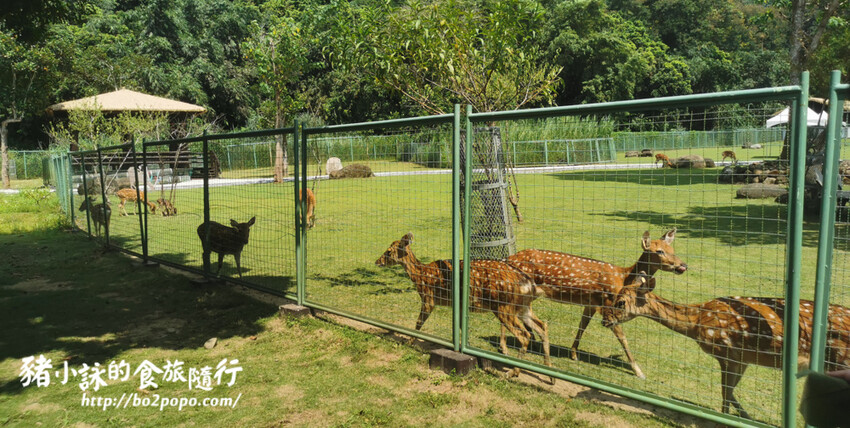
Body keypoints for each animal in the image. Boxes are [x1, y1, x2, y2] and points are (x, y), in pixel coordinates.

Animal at [376, 233, 552, 378]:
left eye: (389, 251)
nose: (377, 261)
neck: (421, 276)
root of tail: (528, 284)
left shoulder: (429, 299)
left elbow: (418, 323)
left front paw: (409, 342)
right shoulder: (459, 305)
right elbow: (459, 326)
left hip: (503, 307)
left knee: (525, 335)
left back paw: (513, 372)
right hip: (522, 307)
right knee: (541, 326)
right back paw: (548, 374)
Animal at [506, 229, 687, 379]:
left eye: (673, 250)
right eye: (659, 251)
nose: (683, 265)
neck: (623, 278)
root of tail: (508, 258)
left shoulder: (591, 304)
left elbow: (582, 325)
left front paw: (573, 354)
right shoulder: (608, 304)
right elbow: (623, 338)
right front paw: (639, 372)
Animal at [605, 275, 850, 419]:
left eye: (621, 302)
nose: (604, 319)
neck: (696, 322)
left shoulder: (726, 352)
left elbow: (725, 394)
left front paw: (729, 418)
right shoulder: (743, 359)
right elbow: (730, 393)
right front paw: (746, 417)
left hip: (840, 359)